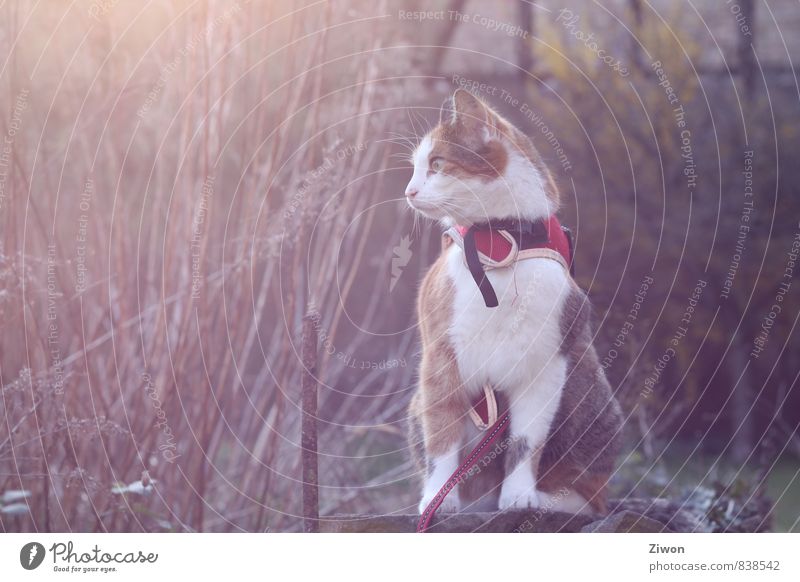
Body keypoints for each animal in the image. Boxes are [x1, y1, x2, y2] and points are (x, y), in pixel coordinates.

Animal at [406, 89, 624, 516]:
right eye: (416, 168)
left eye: (436, 164)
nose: (409, 191)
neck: (498, 241)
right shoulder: (441, 357)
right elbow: (441, 433)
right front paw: (438, 499)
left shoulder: (547, 362)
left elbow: (526, 441)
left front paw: (520, 496)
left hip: (590, 387)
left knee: (592, 496)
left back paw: (553, 500)